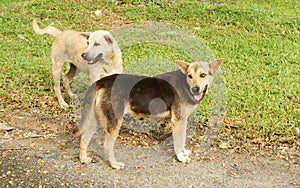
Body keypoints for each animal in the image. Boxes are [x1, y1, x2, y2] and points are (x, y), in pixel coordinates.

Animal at [77, 58, 223, 169]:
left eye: (203, 75)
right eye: (190, 76)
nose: (195, 89)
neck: (185, 84)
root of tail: (101, 81)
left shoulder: (183, 121)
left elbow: (182, 140)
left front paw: (183, 153)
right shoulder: (178, 120)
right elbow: (179, 141)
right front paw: (180, 157)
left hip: (97, 118)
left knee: (84, 138)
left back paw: (83, 159)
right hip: (114, 122)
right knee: (107, 145)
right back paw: (114, 165)